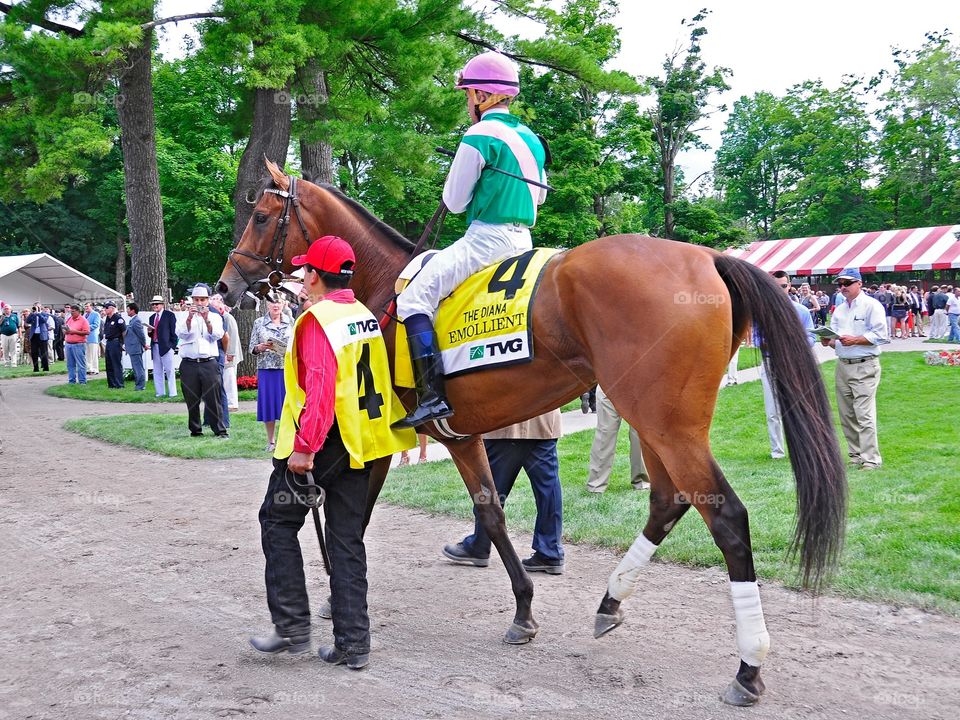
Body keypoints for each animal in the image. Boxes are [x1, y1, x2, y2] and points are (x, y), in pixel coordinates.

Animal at [214, 160, 844, 704]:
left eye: (261, 216)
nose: (225, 285)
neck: (383, 285)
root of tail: (710, 258)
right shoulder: (461, 436)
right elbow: (491, 513)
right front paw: (523, 611)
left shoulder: (379, 439)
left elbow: (364, 517)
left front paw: (330, 598)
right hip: (655, 420)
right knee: (669, 500)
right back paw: (610, 603)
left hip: (669, 424)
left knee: (727, 518)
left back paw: (748, 667)